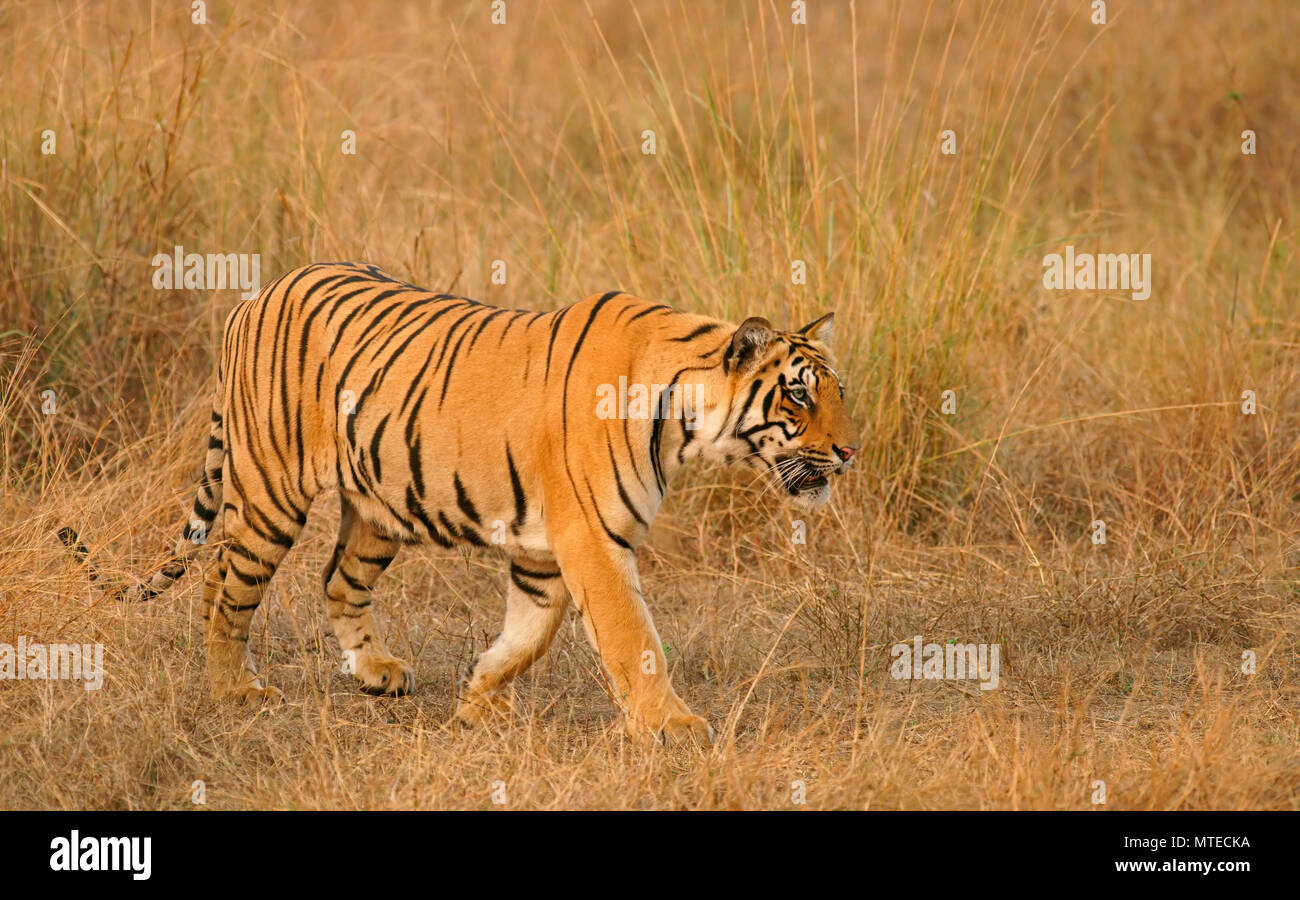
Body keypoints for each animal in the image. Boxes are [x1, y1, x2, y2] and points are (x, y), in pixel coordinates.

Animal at [60, 261, 861, 743]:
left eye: (839, 391)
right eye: (798, 396)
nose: (851, 452)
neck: (682, 422)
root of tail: (256, 294)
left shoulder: (547, 550)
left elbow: (528, 635)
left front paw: (478, 699)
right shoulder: (592, 540)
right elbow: (634, 641)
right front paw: (675, 727)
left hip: (377, 506)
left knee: (332, 581)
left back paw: (374, 672)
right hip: (270, 494)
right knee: (226, 588)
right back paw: (234, 691)